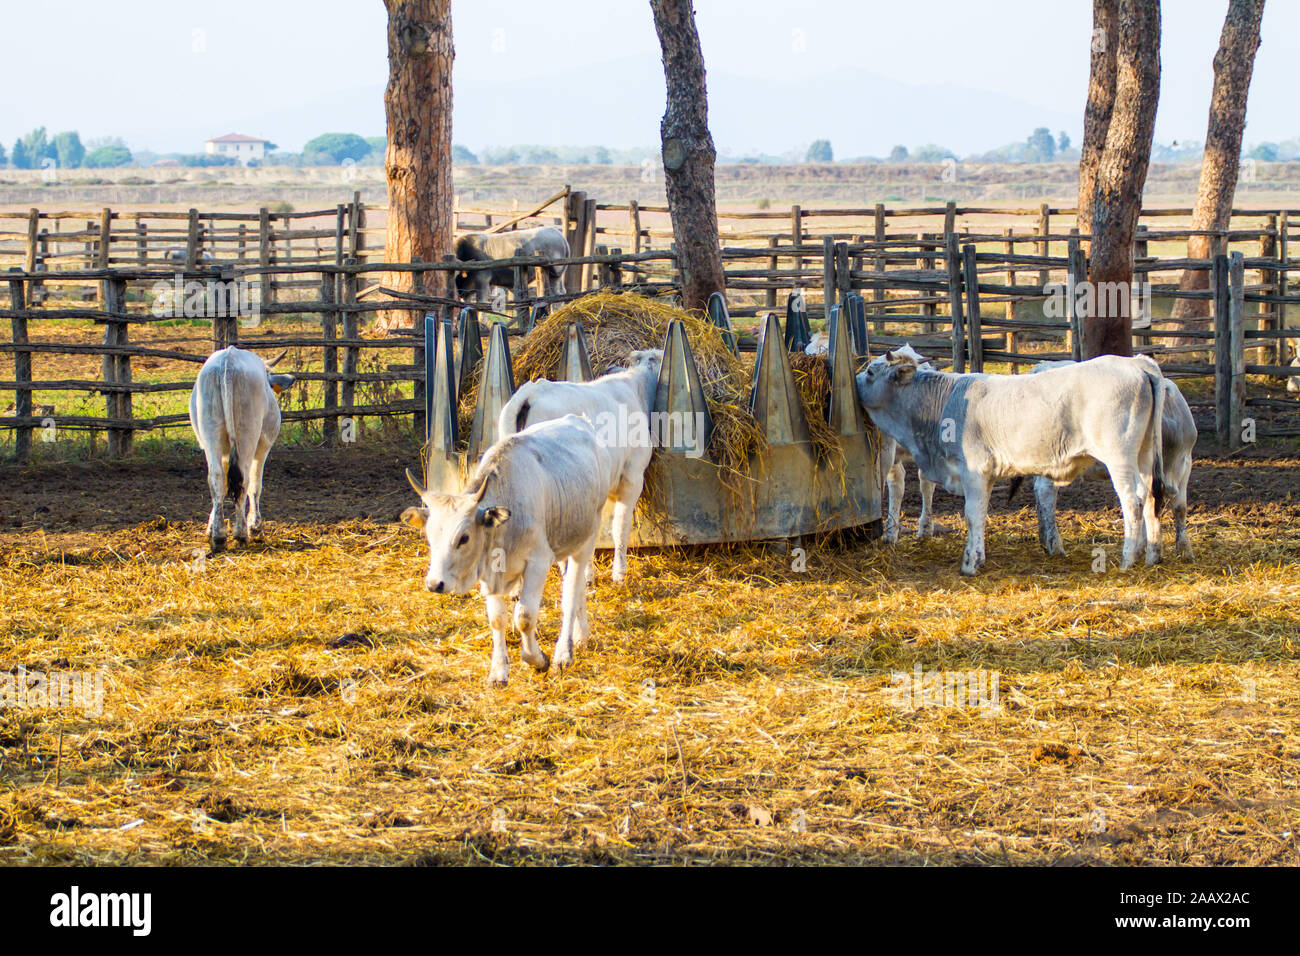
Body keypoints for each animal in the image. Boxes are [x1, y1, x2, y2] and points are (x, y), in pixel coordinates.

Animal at [188, 345, 295, 554]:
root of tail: (229, 359)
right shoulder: (263, 448)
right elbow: (255, 486)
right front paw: (255, 527)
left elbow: (222, 489)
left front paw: (211, 527)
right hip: (247, 436)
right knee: (243, 480)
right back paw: (241, 534)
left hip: (211, 433)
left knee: (216, 479)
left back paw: (218, 537)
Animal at [405, 416, 624, 686]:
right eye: (430, 535)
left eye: (464, 538)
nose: (435, 583)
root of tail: (576, 420)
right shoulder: (491, 574)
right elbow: (497, 619)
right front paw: (499, 671)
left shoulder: (539, 561)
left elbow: (525, 616)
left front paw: (538, 659)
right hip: (565, 541)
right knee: (578, 588)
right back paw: (581, 636)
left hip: (587, 538)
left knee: (571, 594)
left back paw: (564, 653)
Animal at [493, 348, 665, 582]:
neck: (636, 391)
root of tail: (533, 390)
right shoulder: (633, 476)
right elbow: (620, 525)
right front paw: (619, 573)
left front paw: (587, 573)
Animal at [857, 351, 1164, 574]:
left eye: (871, 372)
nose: (854, 378)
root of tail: (1137, 364)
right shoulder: (986, 476)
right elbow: (980, 515)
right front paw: (978, 556)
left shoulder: (974, 471)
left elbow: (972, 515)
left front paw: (970, 563)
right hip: (1144, 457)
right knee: (1149, 497)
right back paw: (1151, 555)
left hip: (1119, 458)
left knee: (1132, 501)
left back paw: (1128, 559)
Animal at [1024, 358, 1196, 561]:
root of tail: (1042, 366)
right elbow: (1151, 506)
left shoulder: (1185, 463)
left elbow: (1179, 507)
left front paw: (1184, 550)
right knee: (1046, 492)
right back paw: (1054, 545)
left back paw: (1045, 539)